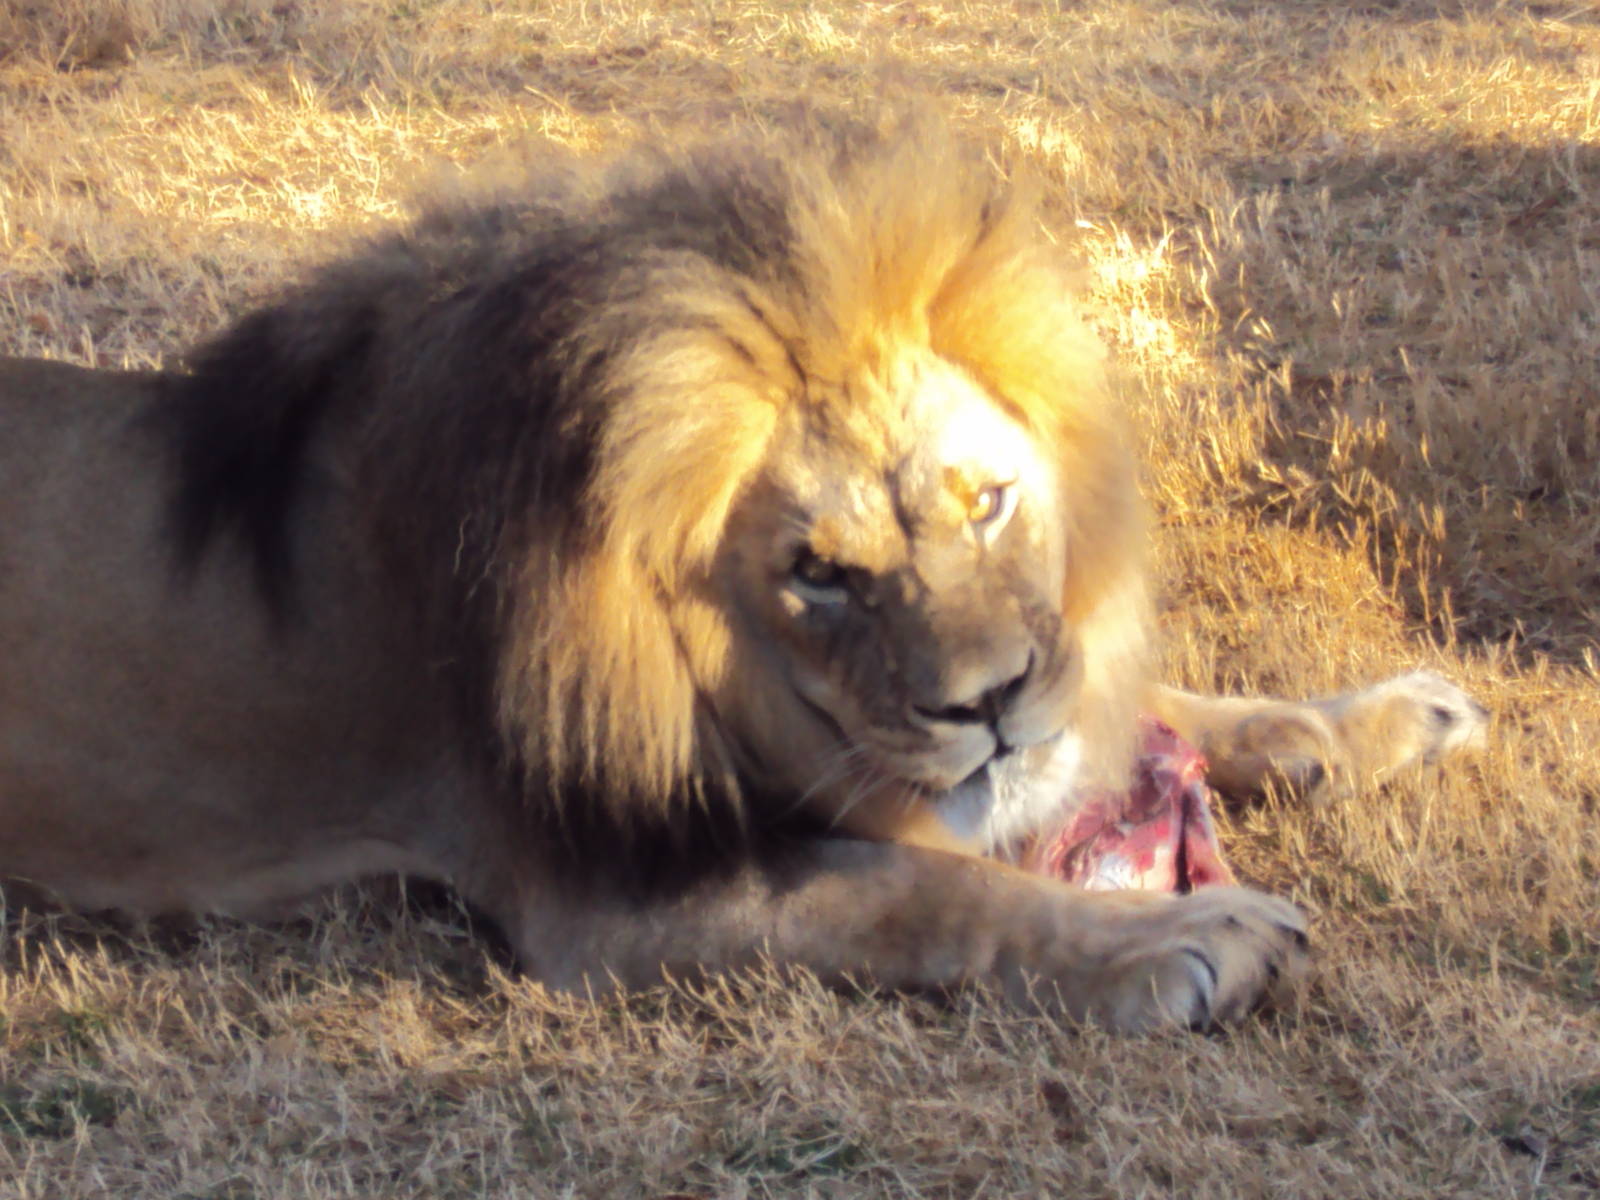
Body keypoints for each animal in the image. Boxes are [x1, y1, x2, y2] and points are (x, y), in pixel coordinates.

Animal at [0, 122, 1484, 1032]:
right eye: (818, 574)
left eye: (989, 501)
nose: (988, 707)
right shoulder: (605, 892)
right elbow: (928, 891)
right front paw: (1190, 938)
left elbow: (1155, 699)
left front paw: (1370, 721)